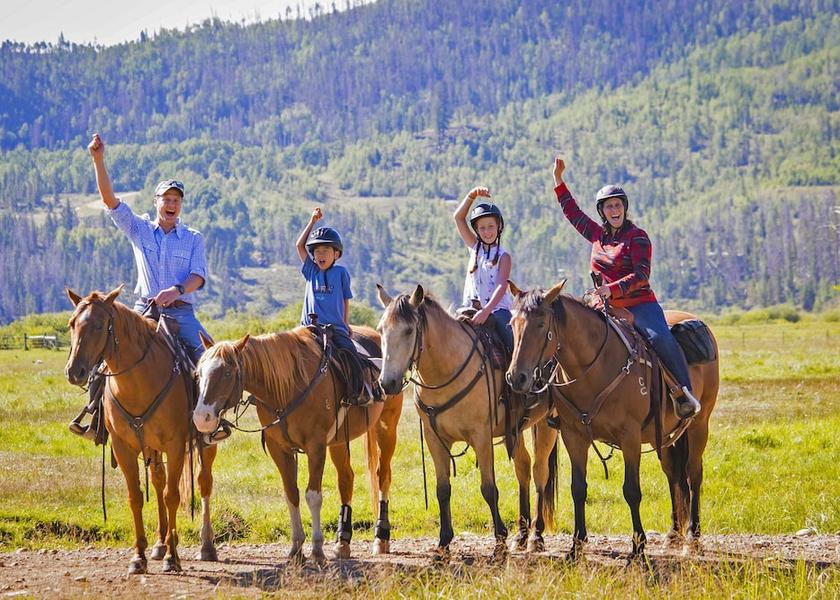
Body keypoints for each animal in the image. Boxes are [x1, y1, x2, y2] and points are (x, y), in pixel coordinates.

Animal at [64, 286, 219, 575]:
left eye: (100, 325)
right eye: (71, 324)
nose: (74, 371)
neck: (139, 381)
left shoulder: (175, 444)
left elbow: (172, 496)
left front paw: (172, 558)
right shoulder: (123, 447)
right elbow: (136, 497)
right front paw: (139, 557)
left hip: (206, 443)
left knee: (203, 483)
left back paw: (206, 546)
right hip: (151, 448)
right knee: (157, 481)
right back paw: (160, 543)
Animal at [192, 325, 403, 563]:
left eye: (228, 372)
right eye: (199, 373)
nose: (201, 417)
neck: (287, 387)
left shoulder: (316, 446)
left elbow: (313, 496)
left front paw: (317, 550)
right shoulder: (279, 449)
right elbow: (291, 494)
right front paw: (296, 548)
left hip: (386, 426)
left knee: (383, 475)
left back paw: (381, 538)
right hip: (339, 442)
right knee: (346, 479)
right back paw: (342, 542)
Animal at [376, 284, 559, 562]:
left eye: (408, 330)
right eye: (381, 330)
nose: (388, 383)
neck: (447, 369)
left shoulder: (481, 436)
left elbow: (489, 489)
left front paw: (499, 544)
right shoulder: (434, 438)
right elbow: (442, 489)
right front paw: (443, 545)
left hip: (547, 424)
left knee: (540, 472)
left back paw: (536, 536)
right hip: (514, 431)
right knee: (524, 468)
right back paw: (521, 535)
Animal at [505, 280, 719, 561]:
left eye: (541, 324)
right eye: (512, 324)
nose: (516, 377)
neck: (594, 368)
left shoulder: (629, 437)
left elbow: (631, 490)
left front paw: (638, 547)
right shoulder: (574, 435)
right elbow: (578, 488)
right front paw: (576, 547)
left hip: (699, 424)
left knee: (693, 474)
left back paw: (692, 539)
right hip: (665, 436)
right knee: (674, 475)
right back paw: (673, 536)